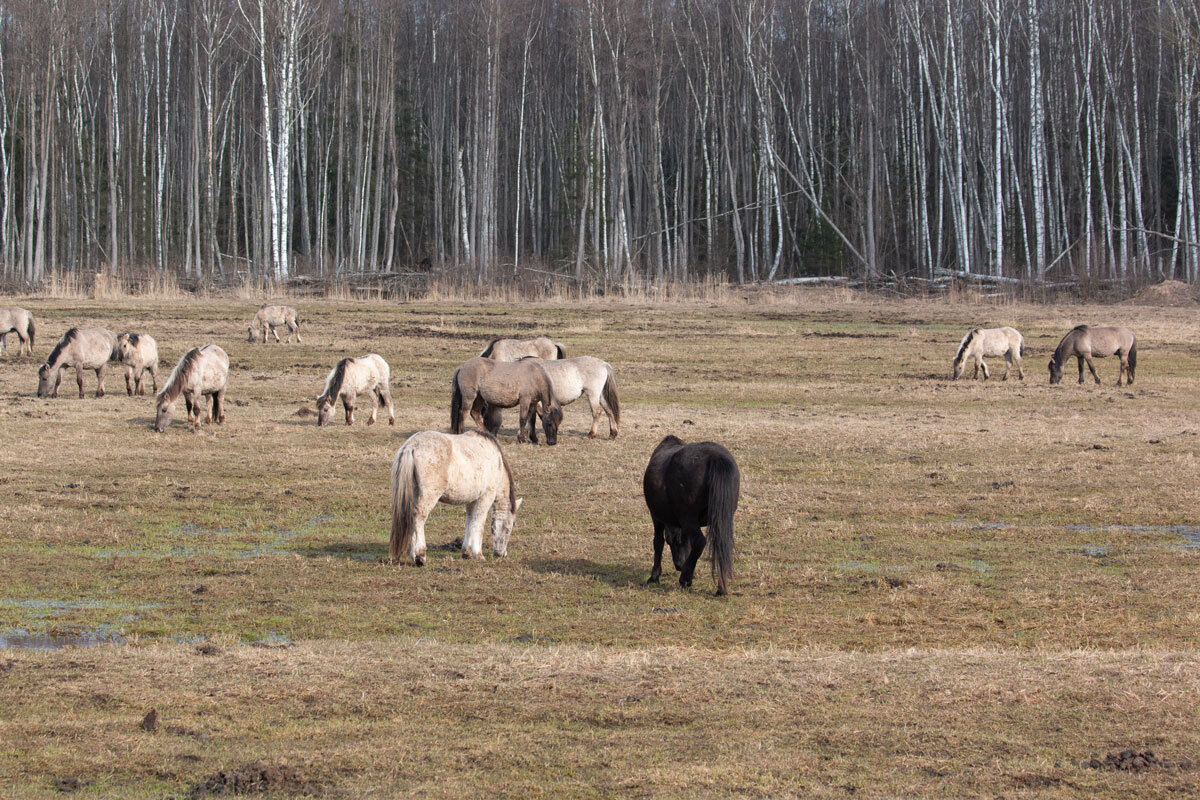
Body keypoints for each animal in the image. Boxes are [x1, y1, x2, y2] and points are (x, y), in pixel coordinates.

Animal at [388, 431, 520, 563]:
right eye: (509, 528)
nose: (501, 554)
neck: (497, 462)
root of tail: (411, 445)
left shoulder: (471, 501)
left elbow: (470, 522)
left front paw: (467, 552)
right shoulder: (486, 497)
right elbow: (479, 524)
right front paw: (478, 554)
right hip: (429, 496)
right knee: (419, 517)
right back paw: (420, 556)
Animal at [643, 434, 734, 597]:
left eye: (672, 542)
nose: (679, 565)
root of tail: (715, 457)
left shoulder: (657, 518)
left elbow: (658, 543)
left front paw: (654, 577)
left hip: (689, 519)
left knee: (700, 542)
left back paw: (685, 579)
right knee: (721, 546)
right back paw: (720, 588)